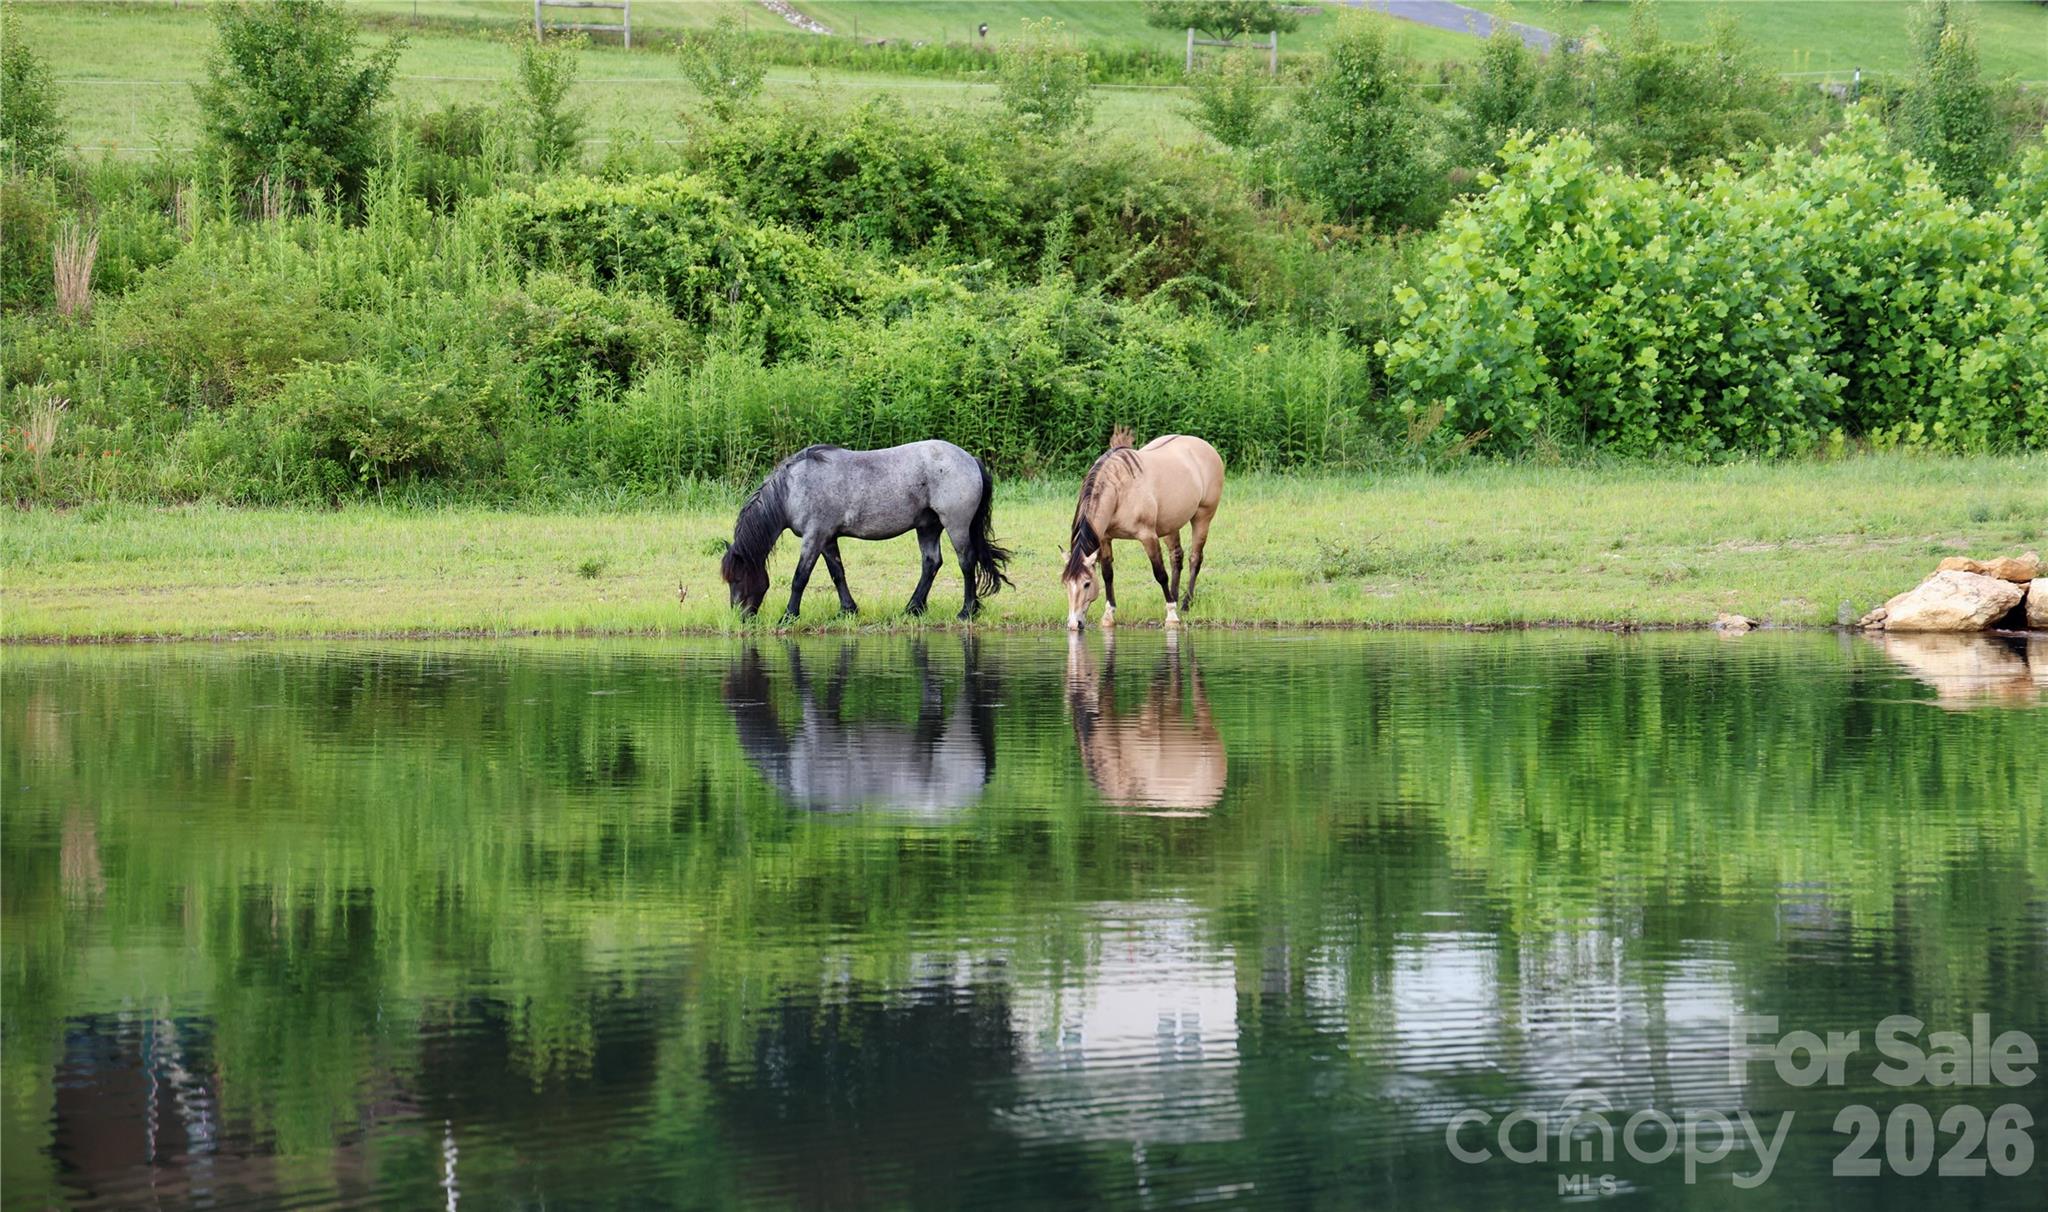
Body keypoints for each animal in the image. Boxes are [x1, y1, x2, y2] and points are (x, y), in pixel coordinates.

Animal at [721, 440, 1012, 622]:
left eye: (738, 578)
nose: (740, 616)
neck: (793, 488)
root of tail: (970, 459)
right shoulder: (827, 539)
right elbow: (837, 573)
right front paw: (847, 610)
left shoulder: (814, 537)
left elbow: (800, 578)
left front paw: (789, 616)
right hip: (928, 527)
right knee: (931, 563)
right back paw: (913, 608)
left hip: (956, 524)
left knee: (966, 562)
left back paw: (966, 611)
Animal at [1061, 428, 1224, 630]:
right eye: (1066, 584)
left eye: (1086, 584)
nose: (1074, 624)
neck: (1119, 491)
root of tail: (1207, 447)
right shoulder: (1105, 539)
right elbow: (1108, 574)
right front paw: (1109, 615)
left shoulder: (1148, 537)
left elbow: (1160, 574)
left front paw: (1172, 616)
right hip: (1171, 524)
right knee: (1176, 557)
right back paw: (1175, 597)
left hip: (1203, 517)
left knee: (1195, 558)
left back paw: (1186, 603)